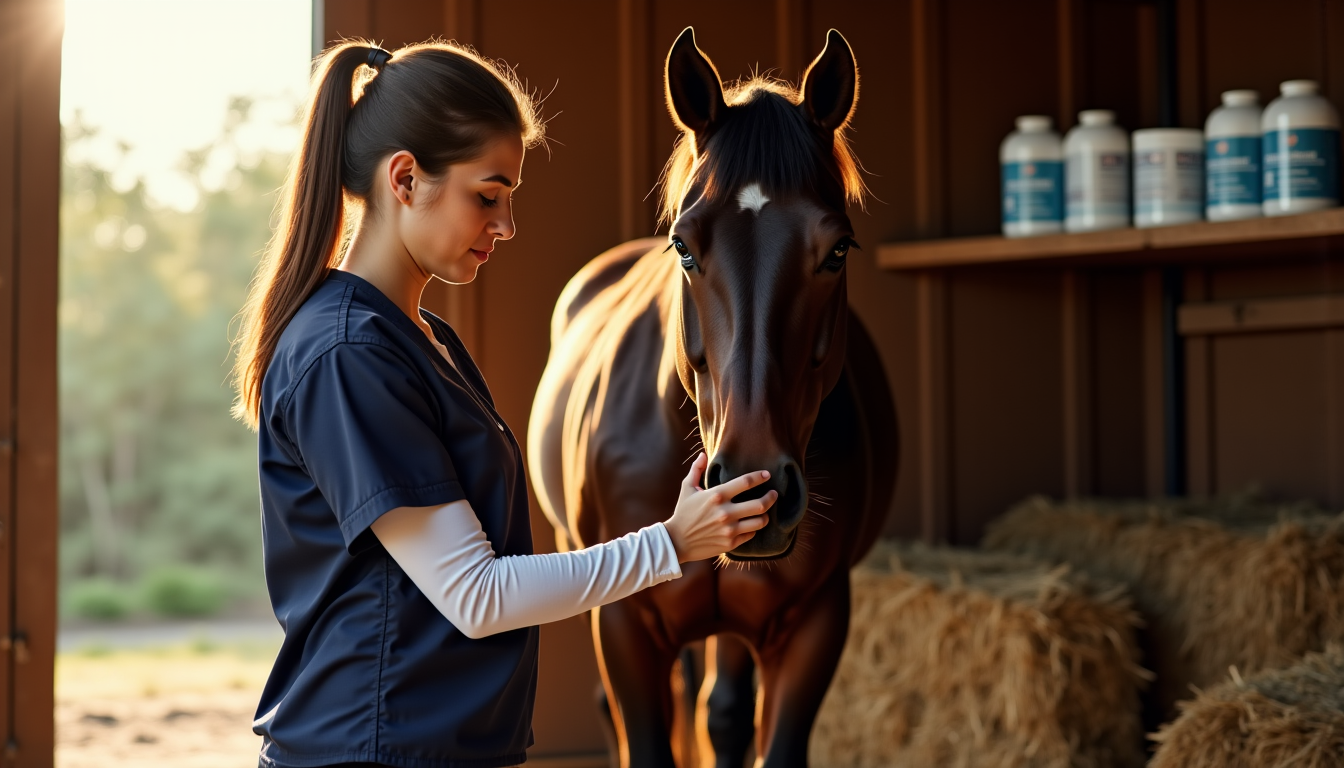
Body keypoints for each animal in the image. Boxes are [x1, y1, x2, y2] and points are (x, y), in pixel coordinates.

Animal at [527, 27, 897, 768]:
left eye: (838, 249)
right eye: (684, 246)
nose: (754, 484)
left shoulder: (815, 624)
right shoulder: (625, 622)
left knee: (721, 710)